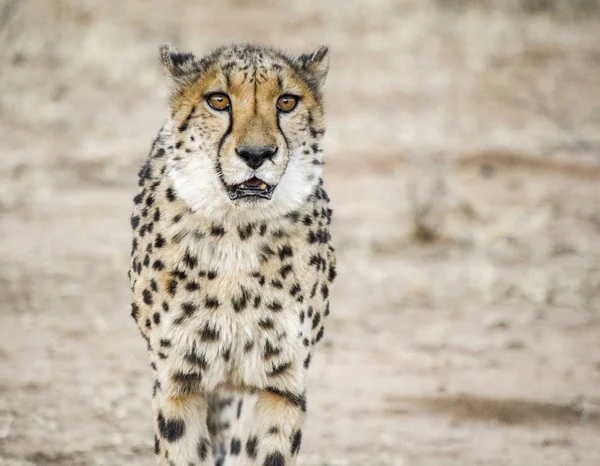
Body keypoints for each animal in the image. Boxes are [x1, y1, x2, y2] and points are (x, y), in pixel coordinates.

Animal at [128, 44, 336, 466]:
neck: (238, 228)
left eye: (286, 102)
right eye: (218, 100)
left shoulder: (281, 382)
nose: (256, 154)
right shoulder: (179, 381)